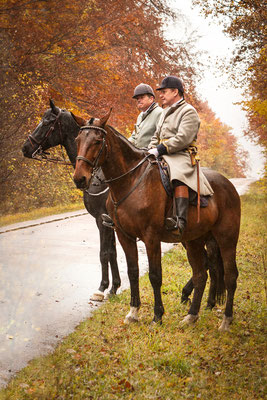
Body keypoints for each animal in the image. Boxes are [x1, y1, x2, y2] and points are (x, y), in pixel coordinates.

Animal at [22, 99, 224, 306]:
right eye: (78, 139)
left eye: (47, 122)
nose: (26, 148)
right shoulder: (111, 223)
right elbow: (113, 253)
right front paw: (114, 287)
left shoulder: (102, 221)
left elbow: (105, 253)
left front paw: (102, 288)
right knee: (210, 262)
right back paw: (206, 299)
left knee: (206, 262)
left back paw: (191, 294)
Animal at [73, 111, 241, 330]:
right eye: (77, 140)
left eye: (97, 141)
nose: (80, 179)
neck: (130, 181)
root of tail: (228, 184)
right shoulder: (124, 235)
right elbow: (133, 272)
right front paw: (133, 312)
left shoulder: (151, 237)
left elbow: (155, 275)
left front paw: (157, 316)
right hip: (194, 240)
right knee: (200, 274)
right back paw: (191, 315)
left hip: (227, 238)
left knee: (230, 276)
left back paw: (226, 320)